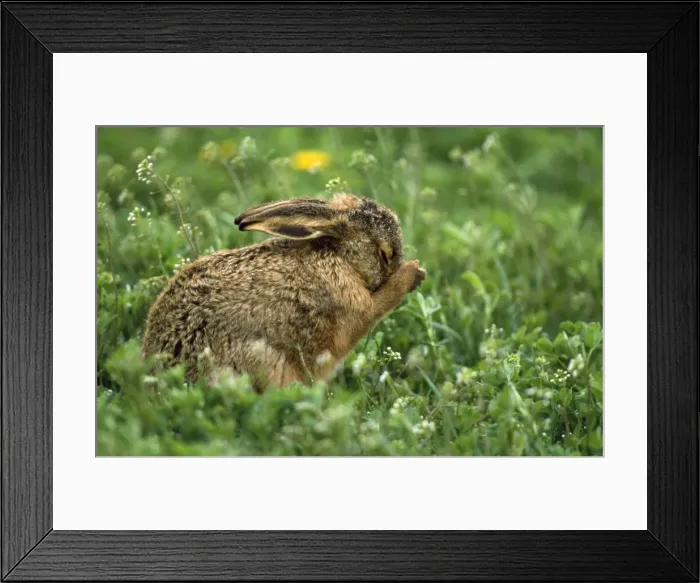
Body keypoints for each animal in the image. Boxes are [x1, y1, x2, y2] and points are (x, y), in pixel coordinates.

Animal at [142, 192, 426, 391]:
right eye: (385, 253)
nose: (416, 276)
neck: (338, 256)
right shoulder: (350, 308)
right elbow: (377, 306)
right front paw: (412, 272)